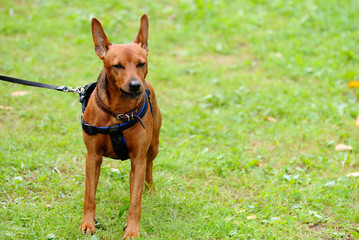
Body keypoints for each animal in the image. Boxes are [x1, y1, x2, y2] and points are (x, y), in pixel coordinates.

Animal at [81, 14, 162, 239]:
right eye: (117, 66)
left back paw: (150, 190)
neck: (117, 113)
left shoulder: (138, 159)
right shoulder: (92, 157)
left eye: (141, 63)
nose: (135, 86)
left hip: (153, 147)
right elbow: (89, 196)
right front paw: (88, 223)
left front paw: (132, 230)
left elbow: (135, 202)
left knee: (149, 168)